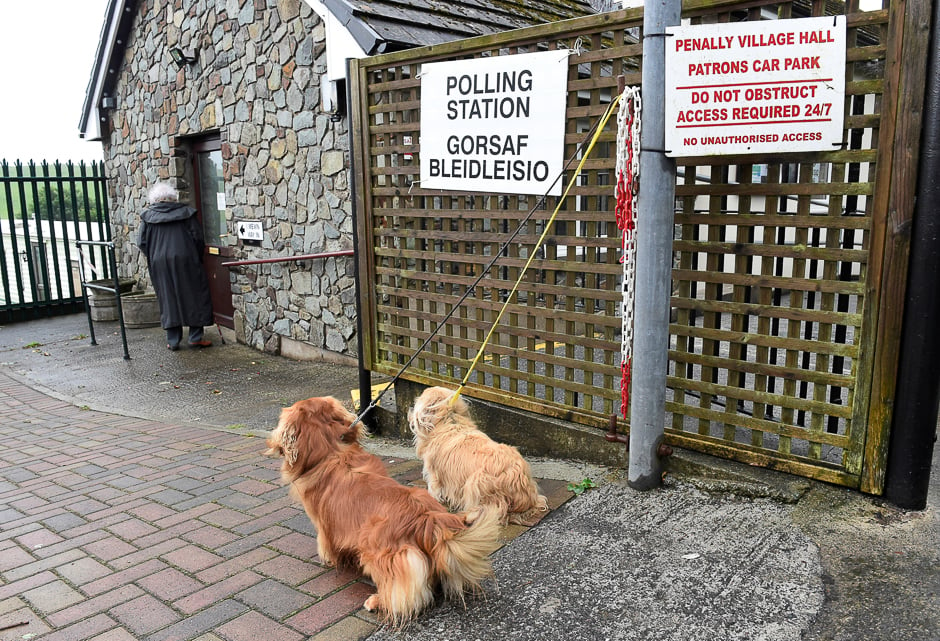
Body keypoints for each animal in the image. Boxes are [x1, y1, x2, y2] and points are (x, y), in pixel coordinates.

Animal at [266, 396, 500, 624]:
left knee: (398, 592)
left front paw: (330, 559)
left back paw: (377, 601)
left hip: (377, 550)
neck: (333, 451)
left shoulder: (324, 527)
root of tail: (428, 517)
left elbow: (327, 545)